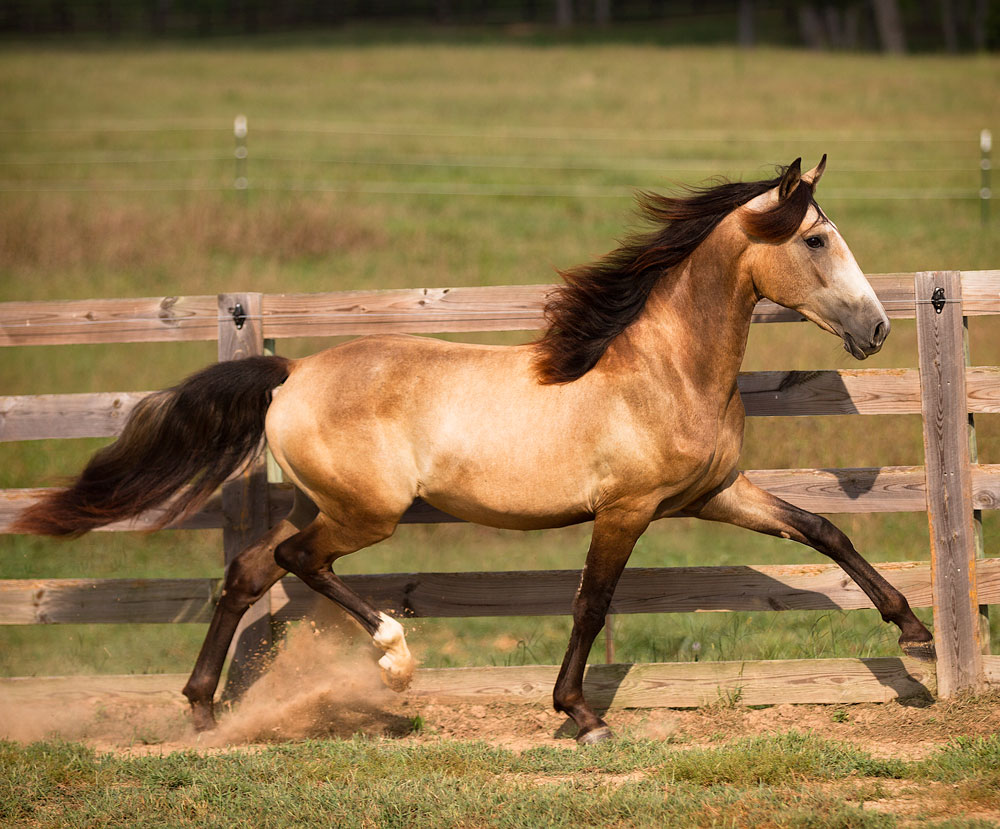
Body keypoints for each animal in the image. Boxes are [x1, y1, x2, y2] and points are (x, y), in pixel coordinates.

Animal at [13, 158, 936, 740]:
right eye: (815, 240)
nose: (877, 329)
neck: (660, 370)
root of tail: (292, 371)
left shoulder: (716, 492)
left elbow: (824, 529)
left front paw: (916, 636)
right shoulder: (626, 509)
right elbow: (591, 603)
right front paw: (581, 715)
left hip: (331, 504)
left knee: (247, 572)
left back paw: (205, 710)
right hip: (368, 512)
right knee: (299, 561)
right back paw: (391, 656)